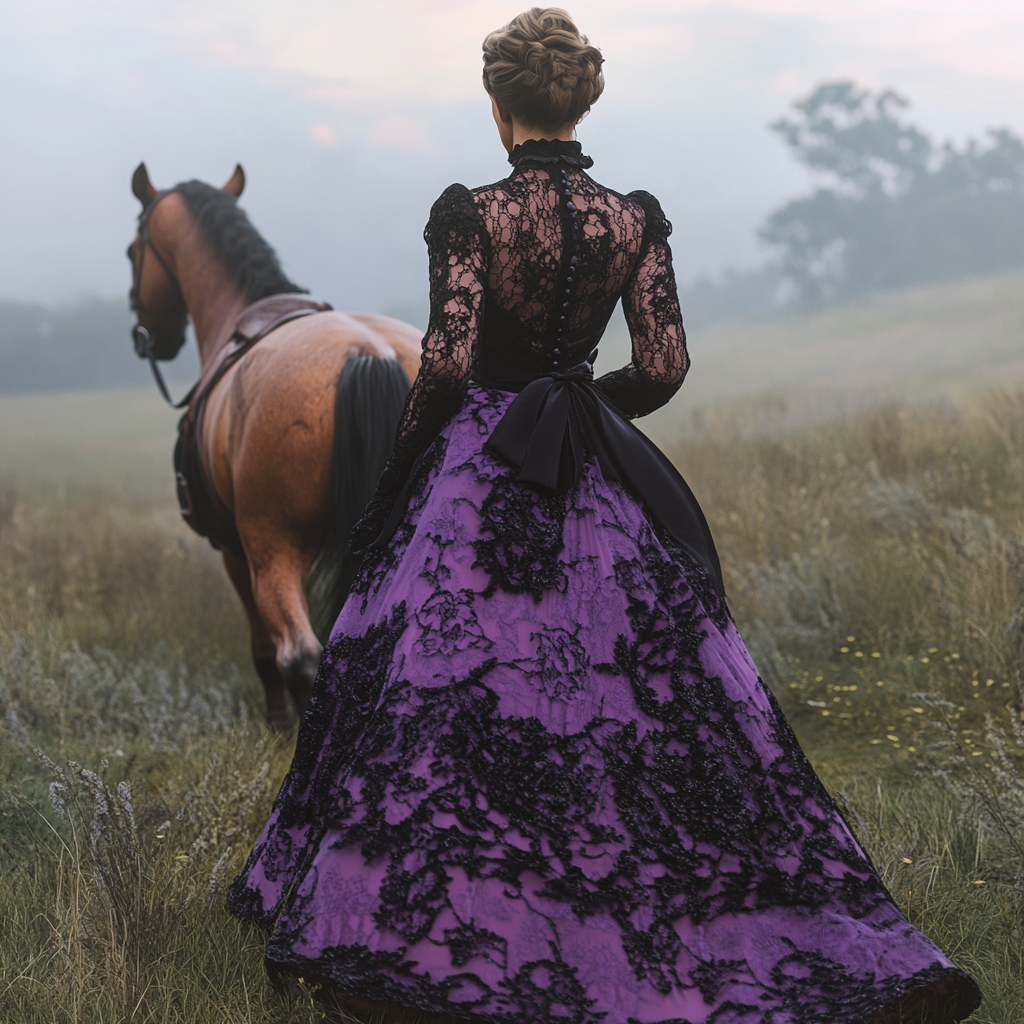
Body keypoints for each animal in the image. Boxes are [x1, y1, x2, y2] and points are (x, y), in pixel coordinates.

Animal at [126, 163, 419, 729]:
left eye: (133, 251)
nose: (146, 337)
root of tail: (370, 353)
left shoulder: (234, 550)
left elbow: (263, 651)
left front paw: (278, 723)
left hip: (272, 550)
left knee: (300, 655)